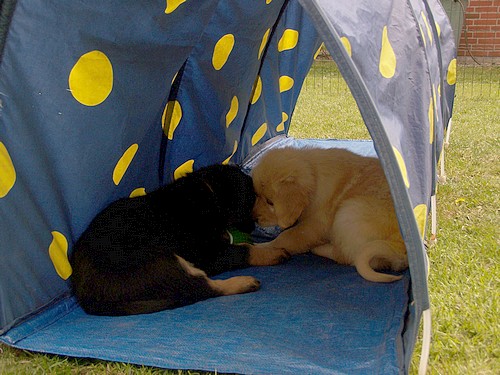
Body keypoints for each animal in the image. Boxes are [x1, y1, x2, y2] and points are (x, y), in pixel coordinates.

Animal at [70, 166, 290, 316]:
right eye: (253, 199)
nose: (253, 226)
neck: (208, 193)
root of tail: (87, 298)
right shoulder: (206, 254)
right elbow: (243, 249)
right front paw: (273, 252)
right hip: (166, 263)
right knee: (201, 289)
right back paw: (244, 283)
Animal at [252, 148, 408, 284]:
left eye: (270, 202)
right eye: (257, 195)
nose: (254, 218)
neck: (314, 175)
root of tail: (400, 247)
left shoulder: (313, 227)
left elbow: (286, 237)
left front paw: (261, 246)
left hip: (347, 212)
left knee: (346, 256)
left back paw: (320, 248)